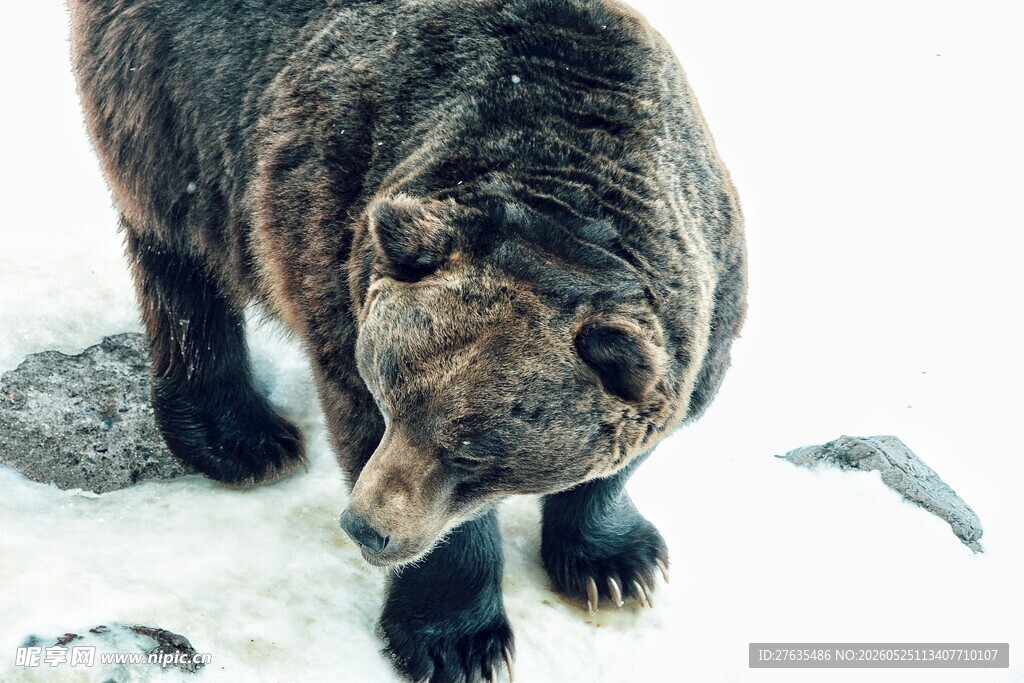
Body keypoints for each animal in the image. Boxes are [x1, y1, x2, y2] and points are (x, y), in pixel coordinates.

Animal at [69, 0, 746, 680]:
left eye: (473, 452)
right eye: (387, 401)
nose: (366, 528)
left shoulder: (704, 302)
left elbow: (627, 458)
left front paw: (617, 567)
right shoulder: (335, 250)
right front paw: (458, 642)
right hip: (176, 100)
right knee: (181, 253)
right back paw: (246, 440)